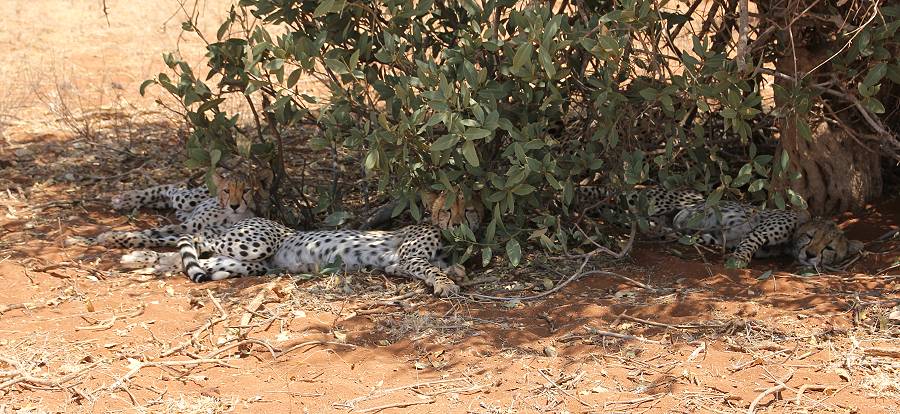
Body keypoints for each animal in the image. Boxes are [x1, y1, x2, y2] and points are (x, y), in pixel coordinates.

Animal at [96, 168, 270, 249]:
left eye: (246, 190)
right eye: (227, 191)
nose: (234, 206)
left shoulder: (197, 232)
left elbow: (156, 236)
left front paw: (113, 238)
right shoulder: (192, 226)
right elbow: (152, 231)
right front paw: (109, 236)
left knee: (171, 197)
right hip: (187, 200)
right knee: (172, 188)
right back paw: (126, 199)